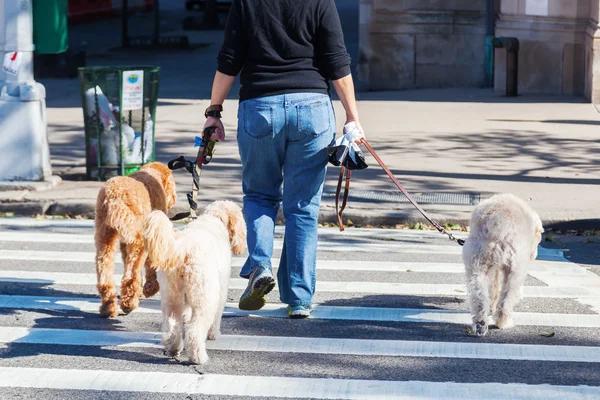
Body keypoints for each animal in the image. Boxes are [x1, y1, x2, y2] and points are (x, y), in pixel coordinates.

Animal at [94, 161, 176, 318]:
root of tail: (116, 196)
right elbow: (150, 264)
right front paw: (150, 288)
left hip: (105, 235)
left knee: (105, 269)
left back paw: (108, 307)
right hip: (138, 240)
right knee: (131, 275)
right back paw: (129, 304)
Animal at [143, 202, 246, 364]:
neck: (215, 218)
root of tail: (183, 249)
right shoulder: (221, 290)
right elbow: (217, 315)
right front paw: (213, 334)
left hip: (171, 295)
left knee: (171, 325)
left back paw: (173, 348)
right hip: (205, 296)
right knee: (194, 330)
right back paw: (198, 357)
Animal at [462, 192, 540, 336]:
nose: (534, 255)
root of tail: (499, 219)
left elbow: (493, 290)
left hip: (476, 264)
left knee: (479, 295)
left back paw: (480, 323)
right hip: (515, 270)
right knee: (507, 298)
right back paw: (503, 322)